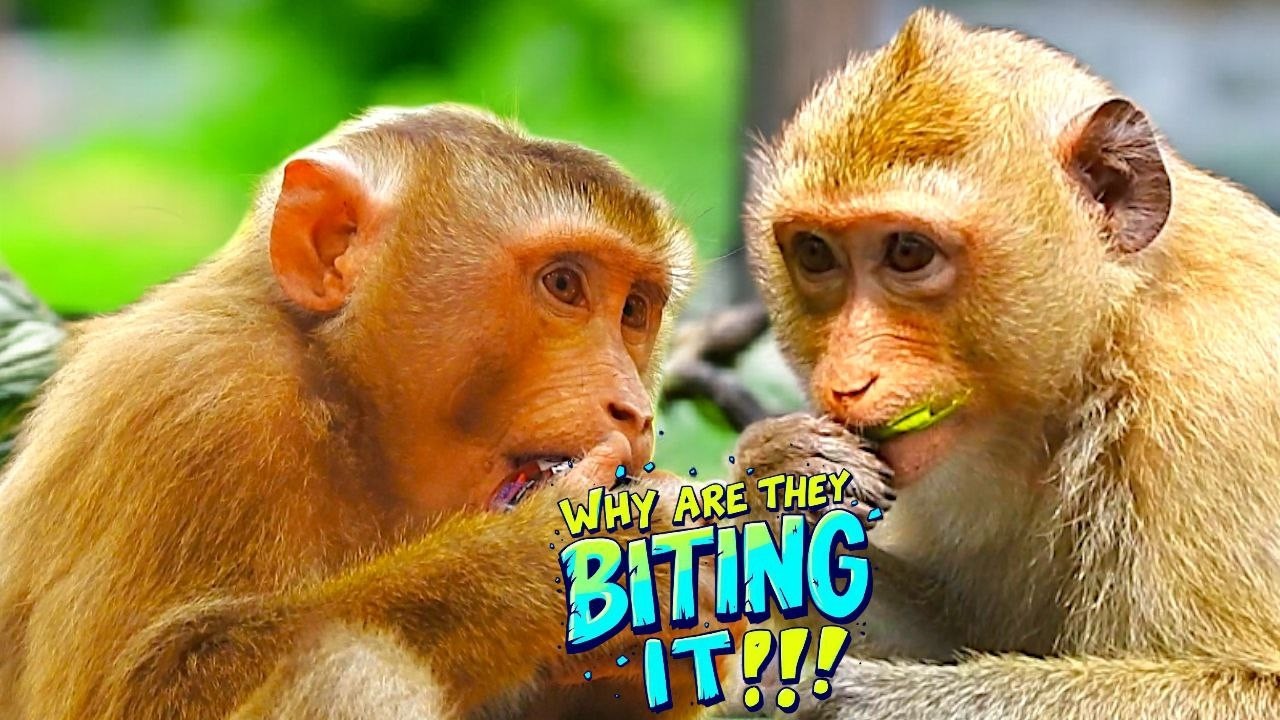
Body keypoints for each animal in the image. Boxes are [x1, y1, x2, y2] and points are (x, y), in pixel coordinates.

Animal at [0, 104, 722, 720]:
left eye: (635, 310)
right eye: (565, 284)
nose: (633, 409)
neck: (343, 407)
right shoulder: (194, 399)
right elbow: (134, 692)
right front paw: (578, 551)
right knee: (350, 666)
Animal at [739, 8, 1280, 719]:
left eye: (908, 252)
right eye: (815, 253)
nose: (846, 382)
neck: (1107, 337)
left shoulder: (1214, 405)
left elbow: (1251, 689)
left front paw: (841, 699)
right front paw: (781, 479)